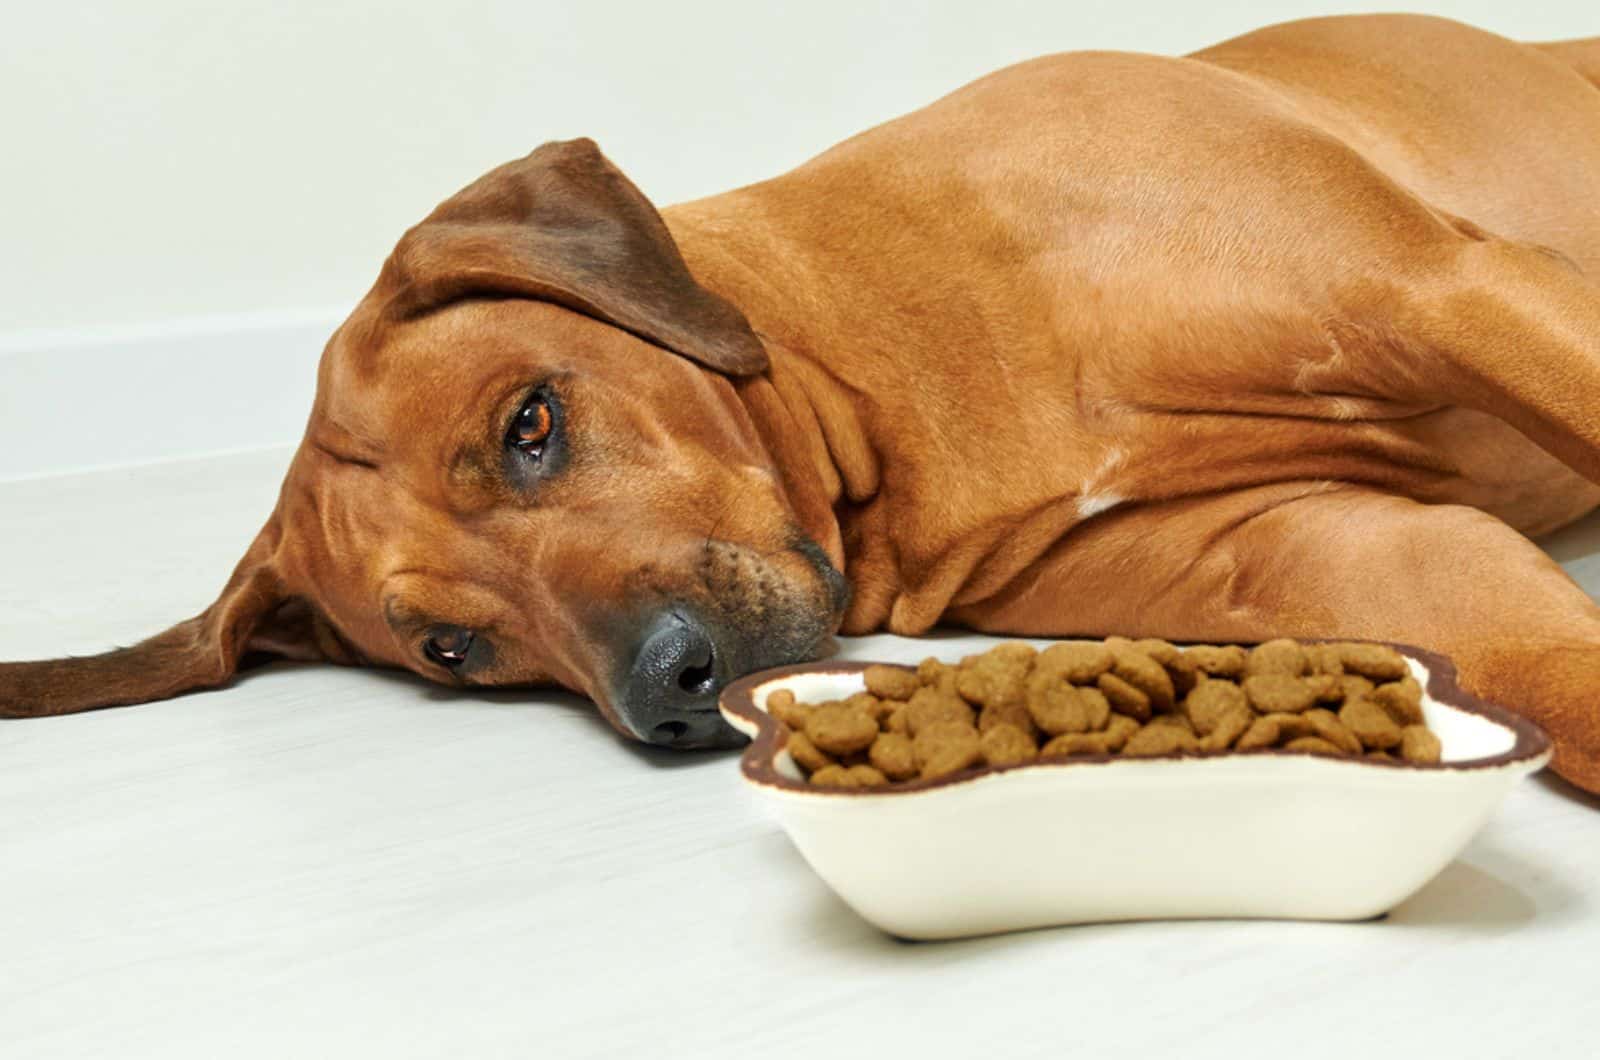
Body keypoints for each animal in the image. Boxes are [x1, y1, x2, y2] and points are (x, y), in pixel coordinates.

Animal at [3, 14, 1600, 797]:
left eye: (531, 424)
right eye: (453, 650)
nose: (665, 683)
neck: (905, 376)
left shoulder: (1448, 288)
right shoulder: (1334, 551)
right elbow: (1535, 653)